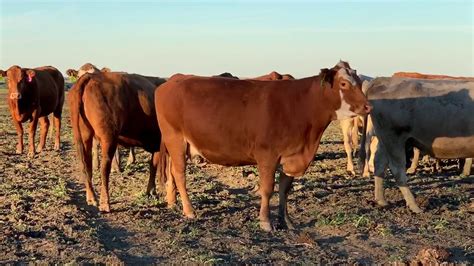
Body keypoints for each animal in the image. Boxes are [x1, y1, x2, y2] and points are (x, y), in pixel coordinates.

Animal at [68, 71, 167, 212]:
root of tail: (91, 76)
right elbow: (157, 166)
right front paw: (154, 192)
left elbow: (153, 165)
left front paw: (151, 192)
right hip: (108, 138)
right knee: (104, 167)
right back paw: (105, 203)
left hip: (85, 135)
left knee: (87, 164)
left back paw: (92, 198)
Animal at [156, 60, 370, 231]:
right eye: (343, 84)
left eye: (360, 83)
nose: (367, 106)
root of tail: (172, 81)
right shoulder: (267, 155)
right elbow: (267, 189)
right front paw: (265, 222)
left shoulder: (291, 155)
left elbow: (284, 190)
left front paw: (286, 221)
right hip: (175, 139)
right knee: (180, 174)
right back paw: (189, 210)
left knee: (172, 172)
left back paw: (172, 202)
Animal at [360, 77, 474, 212]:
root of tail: (380, 80)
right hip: (393, 137)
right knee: (397, 168)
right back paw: (414, 206)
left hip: (384, 139)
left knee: (379, 163)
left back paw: (382, 201)